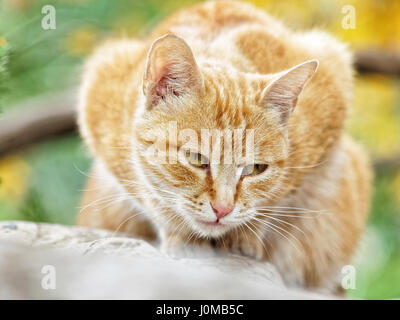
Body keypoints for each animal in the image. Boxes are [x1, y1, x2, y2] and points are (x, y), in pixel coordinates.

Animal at [77, 0, 372, 292]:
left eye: (256, 168)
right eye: (196, 158)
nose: (223, 209)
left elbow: (273, 200)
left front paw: (243, 238)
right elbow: (152, 197)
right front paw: (180, 234)